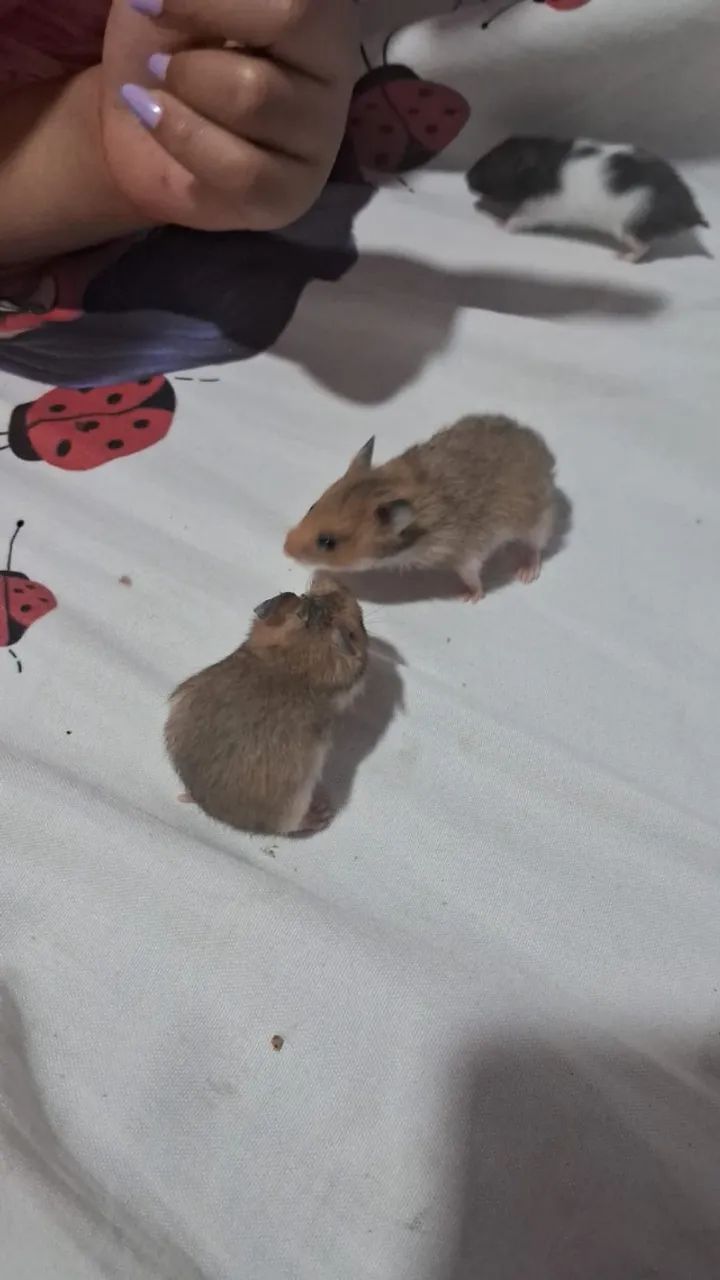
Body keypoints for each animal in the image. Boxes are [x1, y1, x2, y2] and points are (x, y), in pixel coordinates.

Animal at [284, 415, 556, 602]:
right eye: (312, 507)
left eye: (327, 542)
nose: (284, 548)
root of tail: (544, 451)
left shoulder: (466, 555)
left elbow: (472, 576)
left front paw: (468, 598)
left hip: (536, 521)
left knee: (536, 547)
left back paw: (526, 573)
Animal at [466, 136, 709, 261]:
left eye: (493, 164)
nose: (466, 177)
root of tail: (690, 211)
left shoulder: (539, 209)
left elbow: (519, 218)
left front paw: (502, 224)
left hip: (628, 226)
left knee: (643, 247)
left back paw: (622, 257)